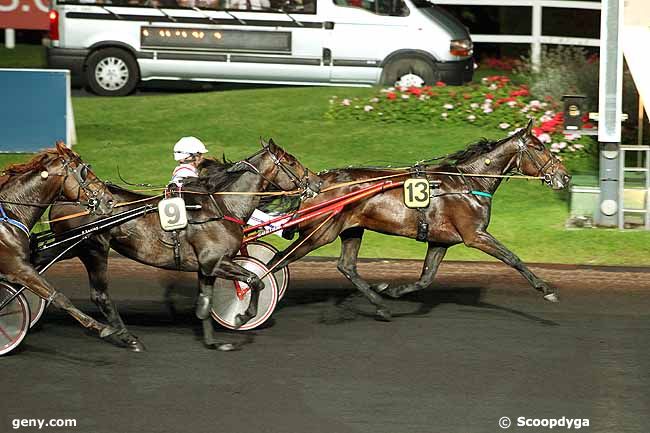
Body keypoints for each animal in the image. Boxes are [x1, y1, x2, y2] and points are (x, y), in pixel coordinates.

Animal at [0, 143, 115, 342]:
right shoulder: (18, 267)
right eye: (84, 172)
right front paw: (102, 327)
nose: (109, 200)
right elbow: (60, 297)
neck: (9, 212)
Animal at [46, 139, 316, 352]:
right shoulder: (216, 262)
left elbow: (205, 306)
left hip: (73, 248)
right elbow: (254, 281)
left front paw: (214, 342)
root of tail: (63, 199)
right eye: (291, 161)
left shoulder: (206, 268)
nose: (314, 182)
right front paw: (241, 316)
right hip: (92, 248)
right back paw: (128, 338)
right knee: (99, 295)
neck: (221, 206)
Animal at [264, 118, 568, 320]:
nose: (564, 176)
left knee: (346, 266)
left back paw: (381, 305)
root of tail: (315, 181)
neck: (469, 182)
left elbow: (425, 278)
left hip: (351, 229)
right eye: (539, 147)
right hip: (320, 232)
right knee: (277, 259)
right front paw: (546, 289)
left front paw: (390, 290)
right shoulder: (475, 235)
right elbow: (513, 258)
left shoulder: (441, 241)